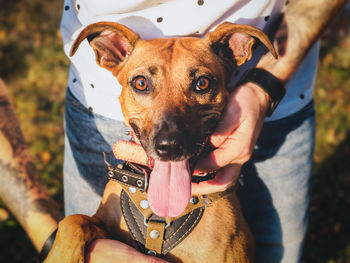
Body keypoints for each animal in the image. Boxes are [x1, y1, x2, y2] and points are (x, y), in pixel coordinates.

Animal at [45, 22, 276, 263]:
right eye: (140, 83)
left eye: (202, 83)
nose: (170, 146)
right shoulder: (102, 224)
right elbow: (73, 220)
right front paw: (60, 256)